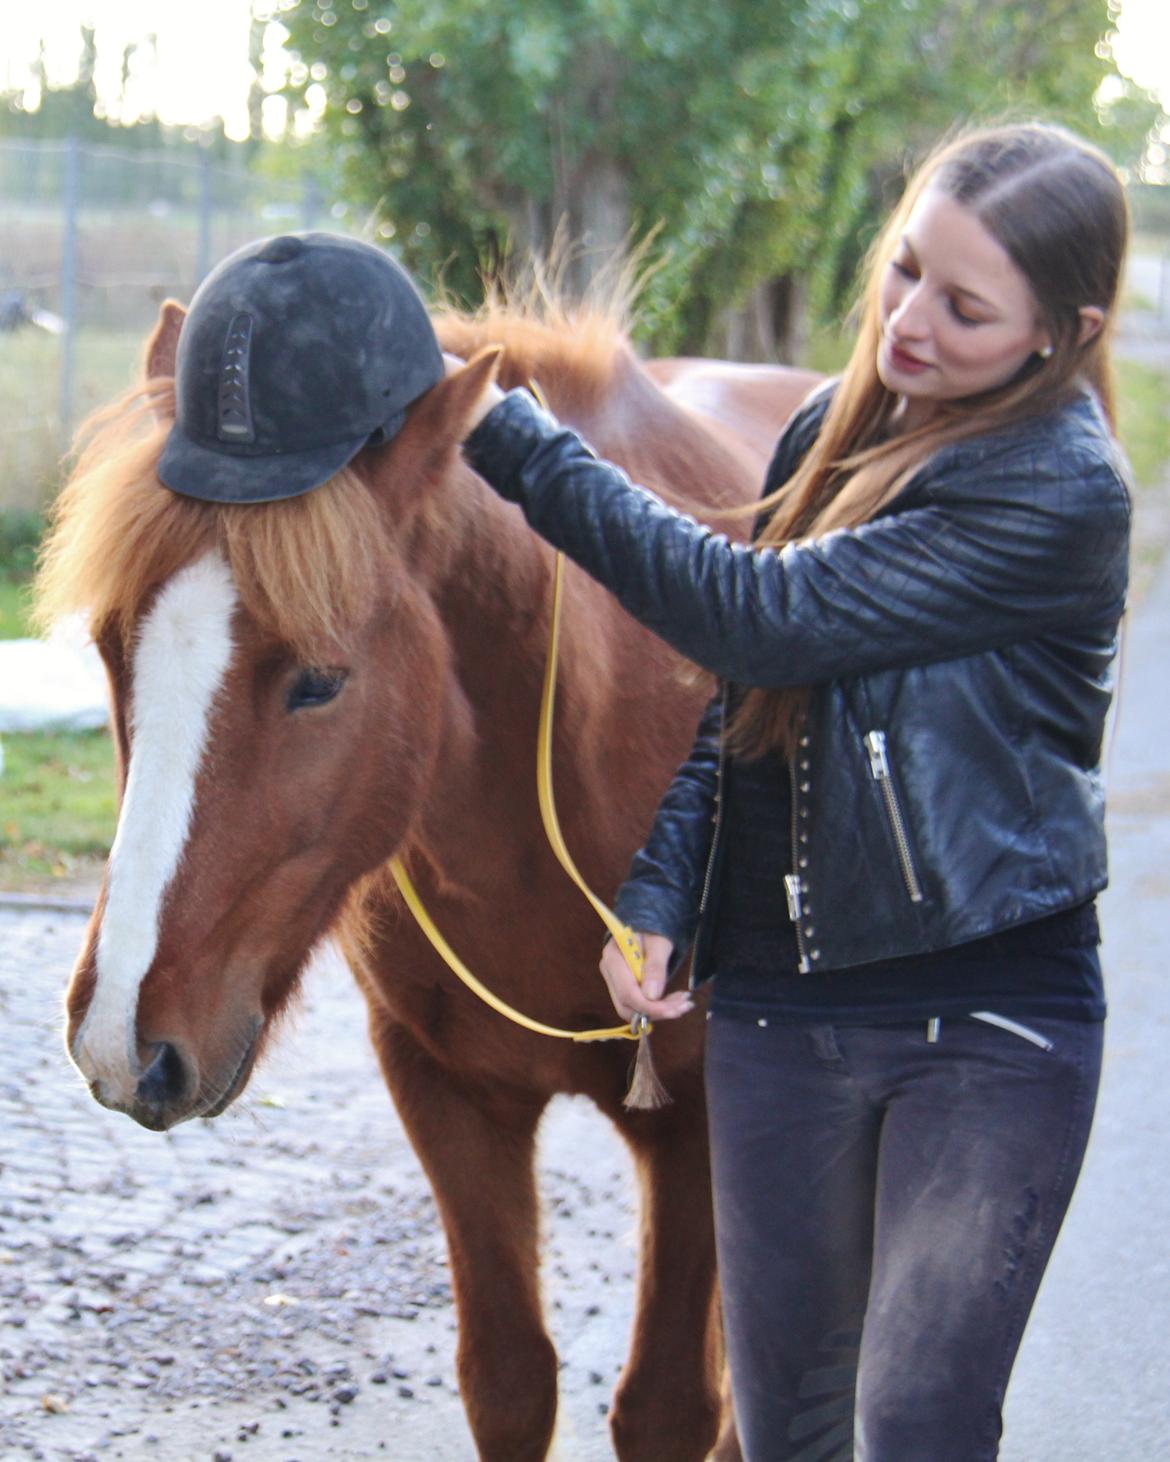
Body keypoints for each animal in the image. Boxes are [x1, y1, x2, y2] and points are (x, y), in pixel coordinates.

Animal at [41, 299, 819, 1462]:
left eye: (320, 681)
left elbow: (672, 1403)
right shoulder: (447, 1096)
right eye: (105, 646)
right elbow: (508, 1379)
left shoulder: (695, 1129)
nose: (121, 1043)